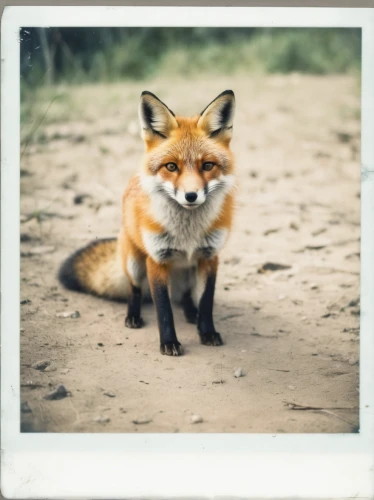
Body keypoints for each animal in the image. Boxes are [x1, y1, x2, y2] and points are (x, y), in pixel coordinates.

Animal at [58, 90, 235, 356]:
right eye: (171, 166)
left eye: (207, 165)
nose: (191, 196)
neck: (188, 234)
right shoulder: (156, 259)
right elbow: (163, 308)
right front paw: (169, 342)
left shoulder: (210, 257)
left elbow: (206, 302)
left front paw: (207, 332)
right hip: (134, 262)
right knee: (135, 289)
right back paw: (133, 316)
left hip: (188, 270)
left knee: (185, 295)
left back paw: (190, 312)